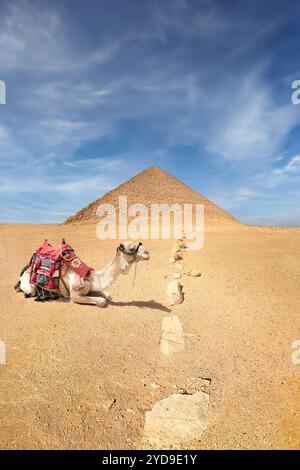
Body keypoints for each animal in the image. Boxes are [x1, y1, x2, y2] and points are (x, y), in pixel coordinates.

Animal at [15, 242, 149, 308]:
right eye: (132, 248)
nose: (147, 253)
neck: (92, 277)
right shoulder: (74, 295)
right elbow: (102, 301)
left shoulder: (91, 287)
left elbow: (107, 295)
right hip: (29, 286)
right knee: (30, 292)